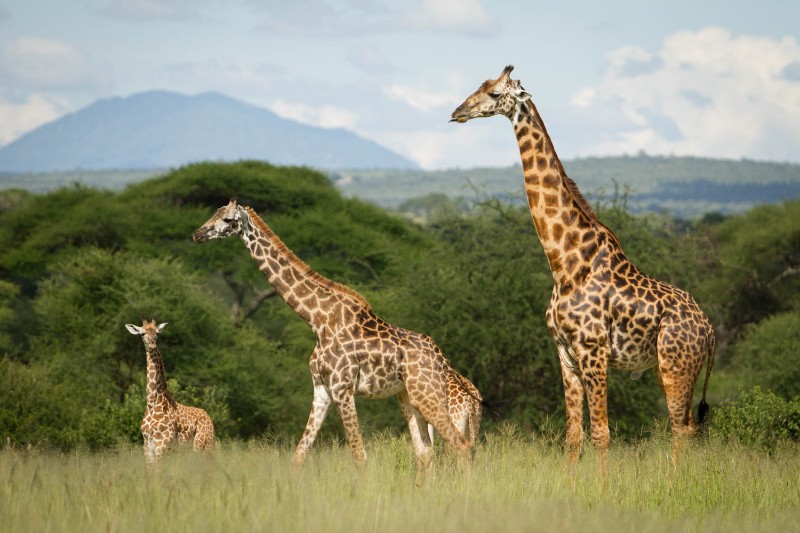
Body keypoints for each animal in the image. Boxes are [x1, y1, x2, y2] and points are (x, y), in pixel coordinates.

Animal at [125, 317, 215, 462]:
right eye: (142, 333)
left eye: (157, 333)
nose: (152, 345)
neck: (152, 402)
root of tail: (209, 418)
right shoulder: (147, 447)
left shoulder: (163, 445)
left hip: (203, 445)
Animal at [192, 199, 473, 479]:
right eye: (214, 212)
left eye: (228, 220)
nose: (197, 234)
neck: (318, 320)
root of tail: (442, 358)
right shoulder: (321, 389)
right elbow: (300, 453)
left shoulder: (342, 388)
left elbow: (359, 455)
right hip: (408, 396)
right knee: (425, 451)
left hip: (429, 394)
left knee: (460, 444)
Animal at [451, 65, 715, 470]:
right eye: (480, 86)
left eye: (495, 93)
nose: (458, 112)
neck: (564, 262)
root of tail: (709, 329)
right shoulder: (566, 355)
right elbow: (573, 438)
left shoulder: (594, 351)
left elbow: (602, 435)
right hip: (666, 367)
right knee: (687, 428)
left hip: (677, 366)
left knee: (680, 430)